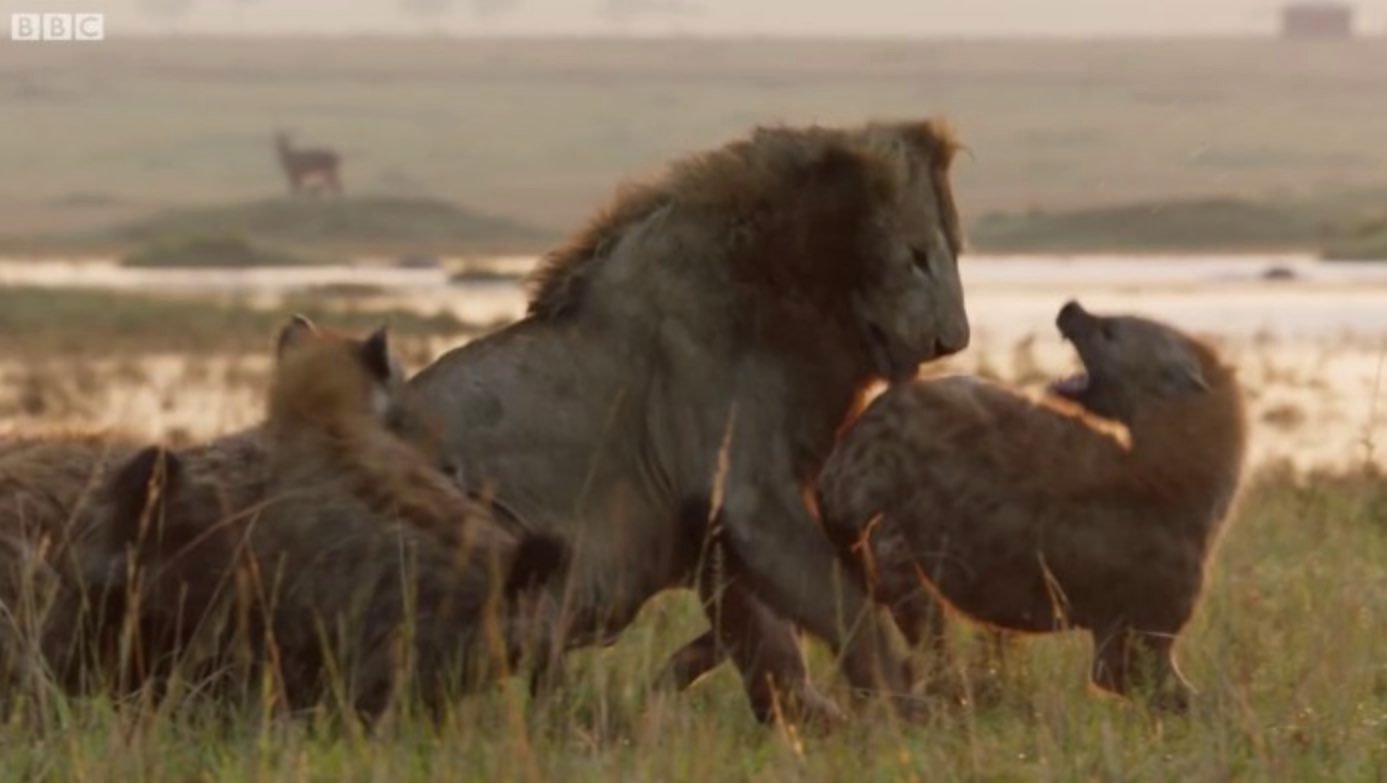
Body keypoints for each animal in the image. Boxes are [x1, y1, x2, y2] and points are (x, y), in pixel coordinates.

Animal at [409, 119, 971, 721]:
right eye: (917, 256)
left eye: (956, 253)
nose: (954, 341)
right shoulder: (742, 497)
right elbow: (845, 614)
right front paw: (909, 714)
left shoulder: (719, 534)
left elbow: (770, 649)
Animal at [816, 301, 1247, 709]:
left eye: (1110, 330)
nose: (1070, 307)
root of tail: (882, 401)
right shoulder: (1136, 629)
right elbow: (1174, 694)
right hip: (867, 488)